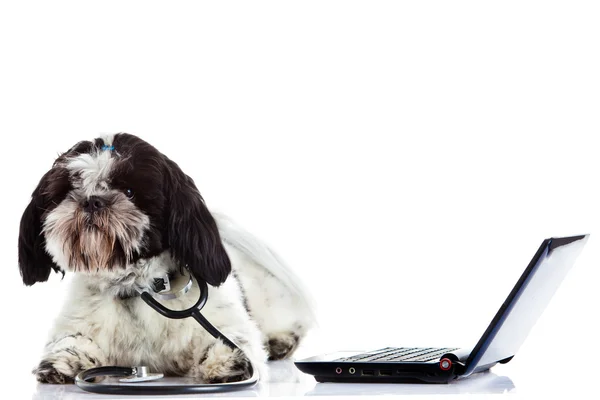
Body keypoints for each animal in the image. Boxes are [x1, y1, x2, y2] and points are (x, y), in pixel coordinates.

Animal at [17, 133, 316, 382]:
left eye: (129, 192)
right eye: (69, 190)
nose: (91, 200)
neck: (135, 288)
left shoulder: (227, 324)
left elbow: (235, 340)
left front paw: (227, 361)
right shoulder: (76, 322)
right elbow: (69, 341)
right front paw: (64, 361)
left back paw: (280, 341)